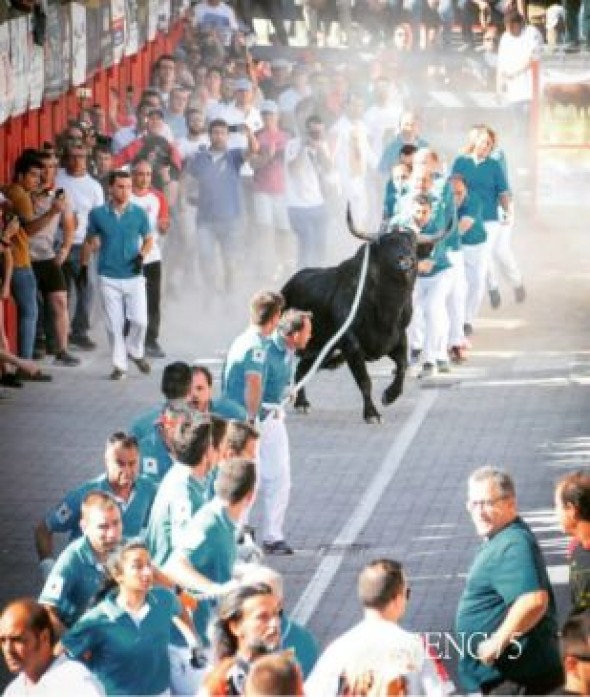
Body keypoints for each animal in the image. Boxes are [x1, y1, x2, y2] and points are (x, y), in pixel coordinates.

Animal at [280, 212, 432, 422]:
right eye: (387, 245)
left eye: (413, 244)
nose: (406, 262)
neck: (386, 309)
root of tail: (288, 285)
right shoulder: (351, 346)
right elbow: (365, 380)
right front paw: (372, 414)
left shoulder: (398, 338)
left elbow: (402, 366)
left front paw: (389, 396)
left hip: (323, 350)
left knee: (303, 368)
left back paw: (302, 403)